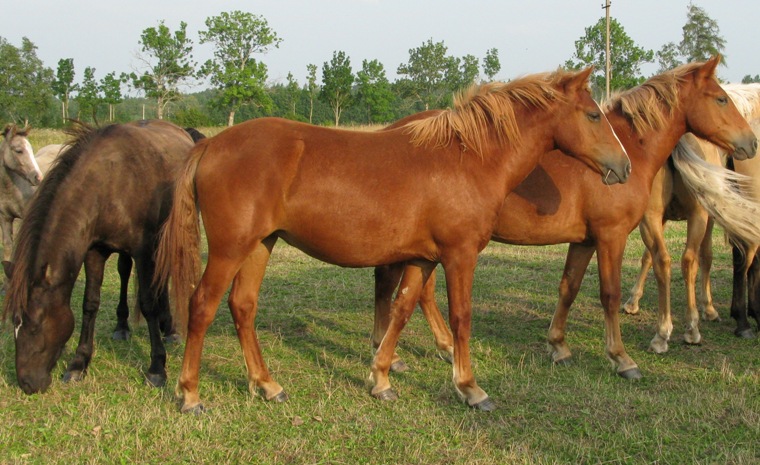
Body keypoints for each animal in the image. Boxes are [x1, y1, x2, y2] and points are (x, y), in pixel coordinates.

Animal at [157, 66, 632, 414]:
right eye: (593, 115)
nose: (623, 166)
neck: (467, 159)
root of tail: (210, 145)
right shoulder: (459, 255)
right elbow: (460, 316)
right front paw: (470, 387)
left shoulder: (423, 258)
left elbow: (402, 310)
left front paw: (381, 378)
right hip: (230, 249)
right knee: (202, 305)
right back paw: (190, 394)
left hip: (261, 244)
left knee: (243, 306)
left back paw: (267, 384)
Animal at [368, 58, 756, 376]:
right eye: (721, 99)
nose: (751, 143)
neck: (629, 147)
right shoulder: (611, 236)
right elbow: (610, 293)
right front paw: (622, 358)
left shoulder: (584, 240)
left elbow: (569, 288)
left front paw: (558, 345)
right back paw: (434, 348)